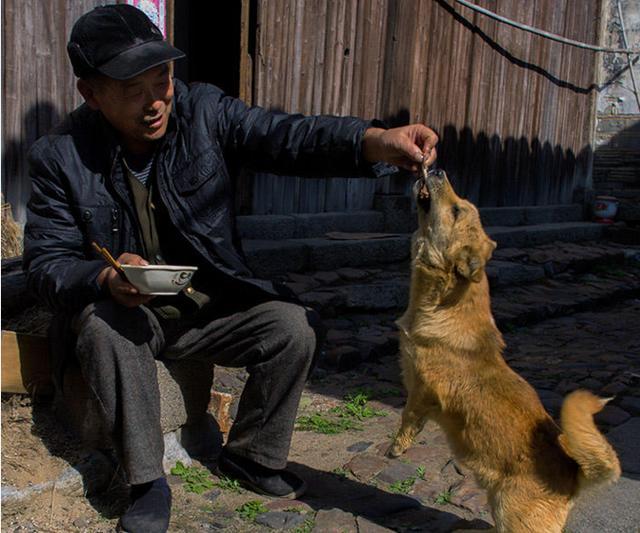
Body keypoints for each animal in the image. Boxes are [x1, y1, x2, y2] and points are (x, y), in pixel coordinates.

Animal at [388, 168, 624, 532]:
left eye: (455, 210)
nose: (437, 168)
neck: (447, 303)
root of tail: (573, 473)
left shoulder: (423, 392)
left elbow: (408, 419)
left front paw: (396, 448)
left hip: (512, 514)